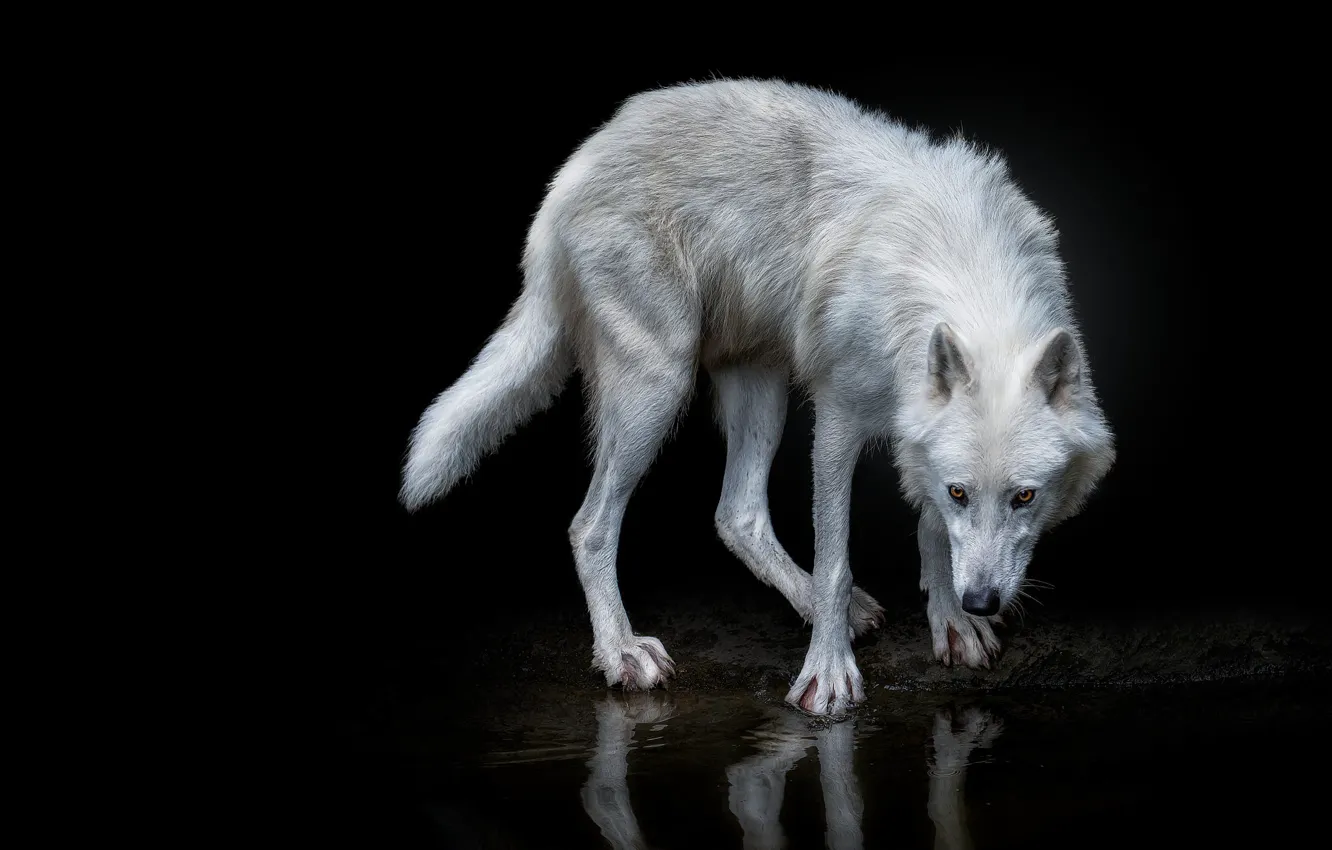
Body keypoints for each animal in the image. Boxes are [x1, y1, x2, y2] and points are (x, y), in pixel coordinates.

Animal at [400, 78, 1115, 716]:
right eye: (964, 492)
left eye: (1025, 497)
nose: (981, 602)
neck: (959, 276)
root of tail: (574, 169)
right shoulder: (838, 420)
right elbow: (836, 559)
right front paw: (828, 678)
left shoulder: (916, 441)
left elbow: (928, 531)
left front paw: (951, 626)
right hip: (659, 386)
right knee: (590, 525)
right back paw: (623, 652)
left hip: (760, 394)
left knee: (735, 514)